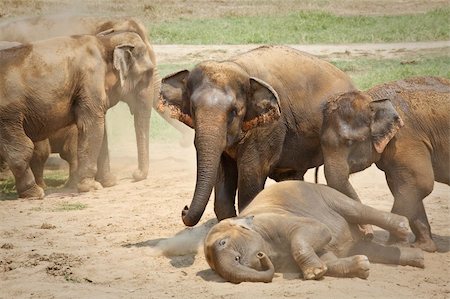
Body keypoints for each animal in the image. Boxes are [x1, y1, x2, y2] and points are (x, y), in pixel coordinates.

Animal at [0, 31, 155, 199]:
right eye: (148, 73)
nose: (135, 175)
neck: (104, 41)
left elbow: (101, 132)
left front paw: (109, 182)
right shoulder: (90, 81)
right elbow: (93, 128)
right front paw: (91, 187)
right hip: (8, 114)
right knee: (22, 148)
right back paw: (35, 192)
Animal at [158, 44, 356, 227]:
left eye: (234, 112)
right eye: (193, 108)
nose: (184, 209)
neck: (239, 67)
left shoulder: (268, 128)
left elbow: (250, 184)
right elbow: (222, 187)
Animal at [206, 180, 424, 284]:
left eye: (223, 243)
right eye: (214, 269)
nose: (261, 256)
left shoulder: (274, 220)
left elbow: (319, 229)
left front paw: (314, 273)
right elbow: (327, 257)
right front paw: (361, 266)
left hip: (327, 194)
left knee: (356, 210)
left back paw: (403, 229)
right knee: (371, 249)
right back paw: (418, 259)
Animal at [320, 76, 450, 252]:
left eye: (349, 142)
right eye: (321, 143)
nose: (368, 236)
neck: (372, 99)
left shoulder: (406, 138)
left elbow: (420, 183)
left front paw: (394, 245)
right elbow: (402, 186)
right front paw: (422, 247)